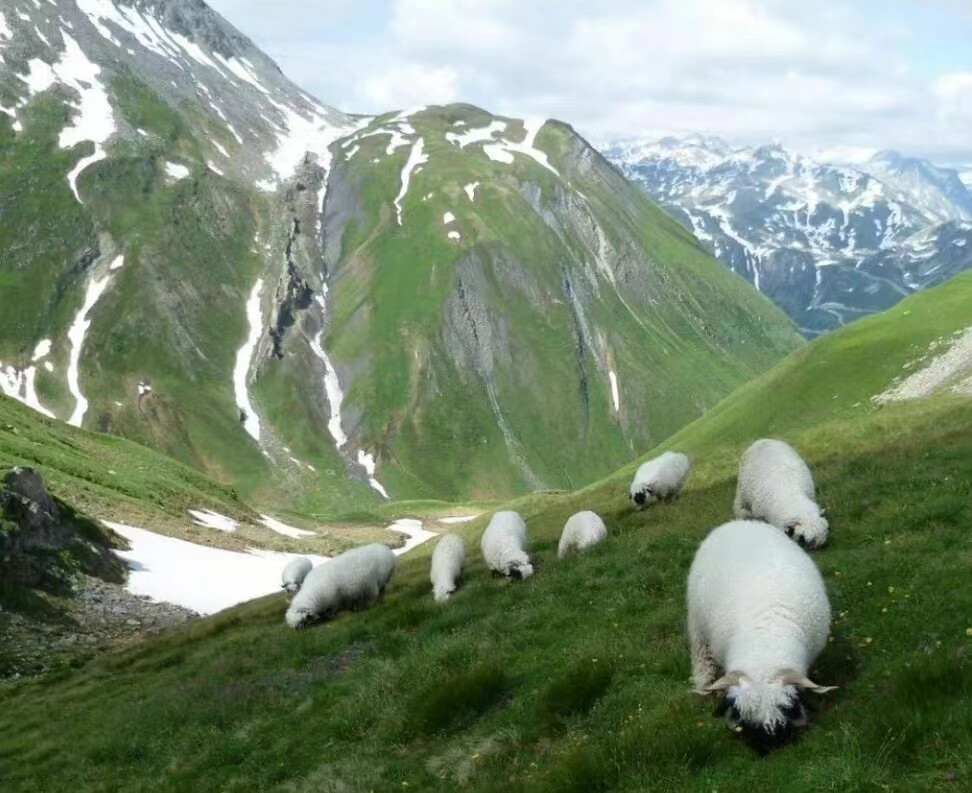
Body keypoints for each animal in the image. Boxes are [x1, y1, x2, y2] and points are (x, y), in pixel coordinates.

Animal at [684, 516, 836, 744]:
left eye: (787, 709)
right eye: (741, 715)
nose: (771, 743)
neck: (765, 644)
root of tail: (738, 523)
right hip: (698, 625)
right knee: (702, 658)